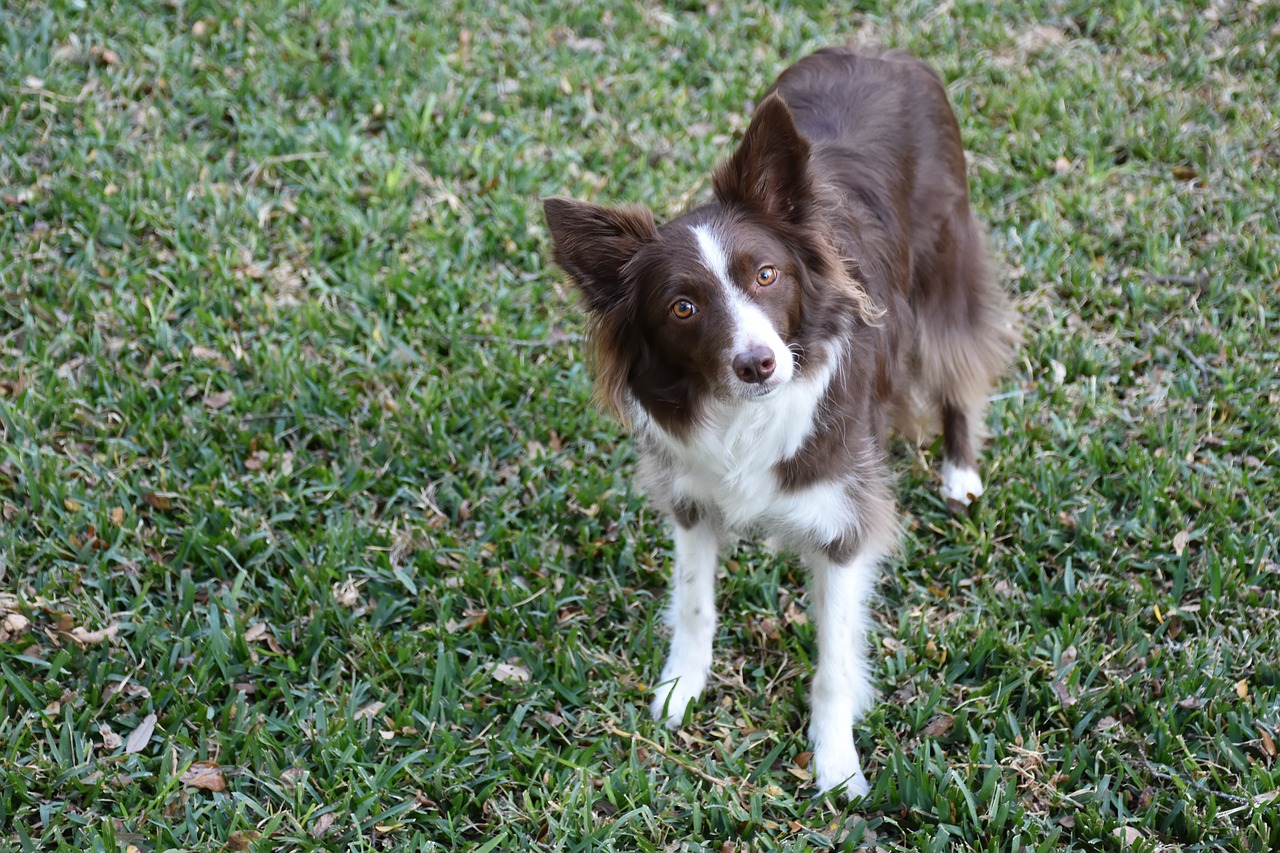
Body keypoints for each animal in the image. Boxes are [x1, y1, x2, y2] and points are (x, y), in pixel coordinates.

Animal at [545, 48, 1013, 799]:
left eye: (766, 275)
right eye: (682, 307)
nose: (759, 363)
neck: (747, 414)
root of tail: (881, 48)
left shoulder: (847, 522)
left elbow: (833, 663)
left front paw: (837, 765)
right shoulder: (692, 495)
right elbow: (696, 602)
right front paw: (680, 689)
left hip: (947, 266)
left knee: (962, 363)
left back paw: (960, 471)